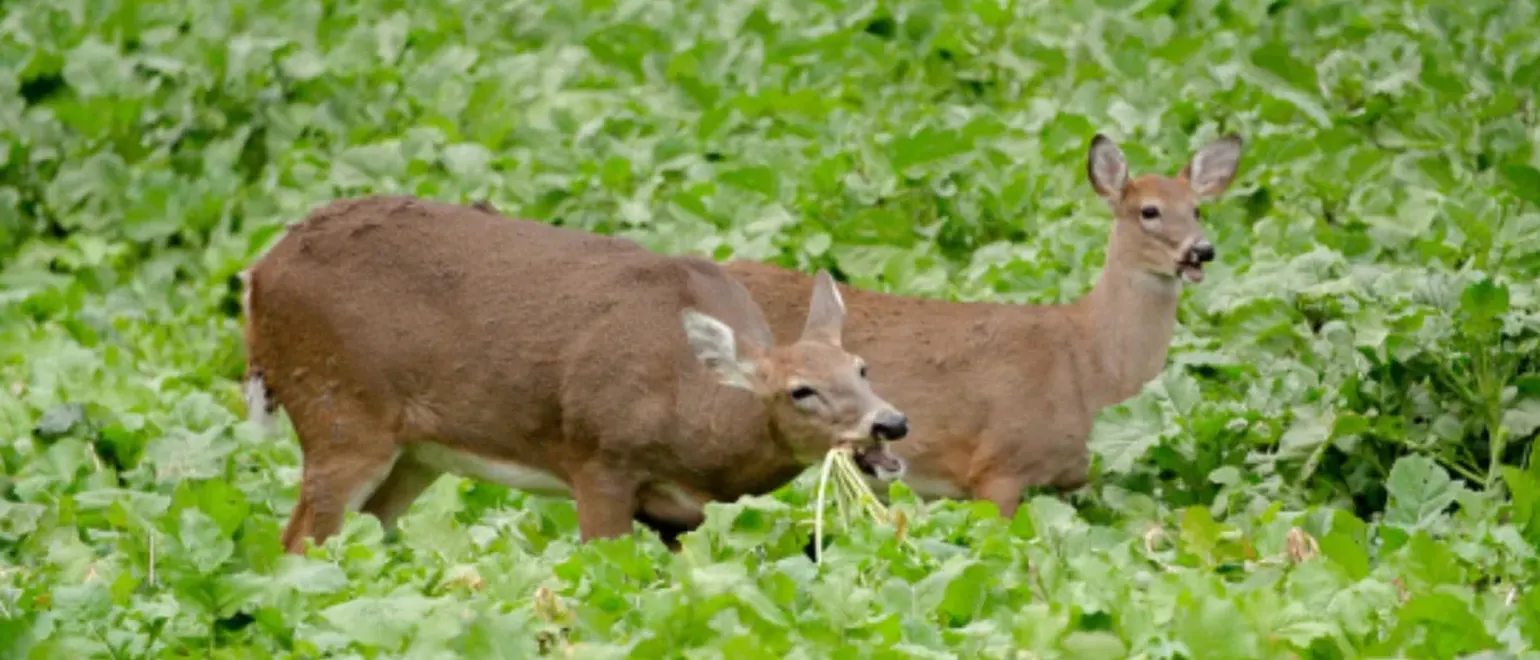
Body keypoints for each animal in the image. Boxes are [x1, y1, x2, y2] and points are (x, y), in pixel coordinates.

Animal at [239, 195, 910, 554]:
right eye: (801, 391)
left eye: (862, 366)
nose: (891, 423)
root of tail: (256, 276)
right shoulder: (598, 458)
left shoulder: (679, 514)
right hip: (340, 410)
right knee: (296, 542)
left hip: (416, 454)